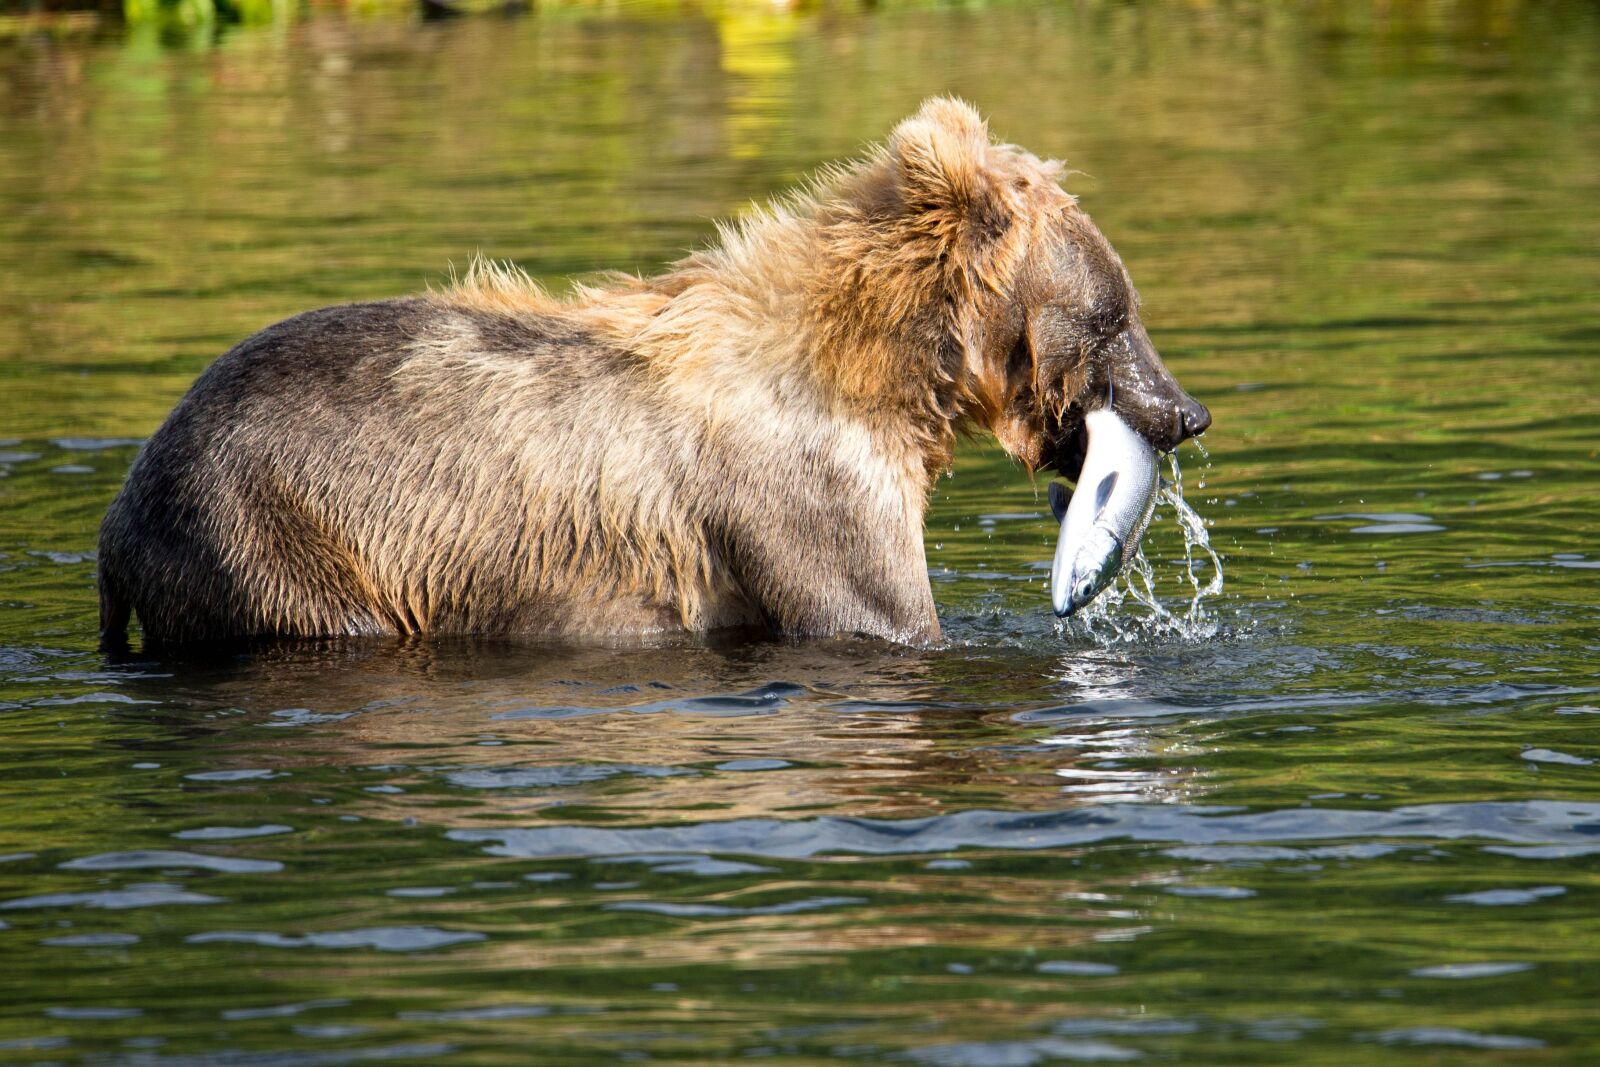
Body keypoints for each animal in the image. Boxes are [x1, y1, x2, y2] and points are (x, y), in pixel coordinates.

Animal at [97, 97, 1209, 649]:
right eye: (1116, 314)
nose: (1185, 410)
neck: (886, 377)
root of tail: (119, 512)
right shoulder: (803, 488)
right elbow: (878, 616)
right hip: (276, 534)